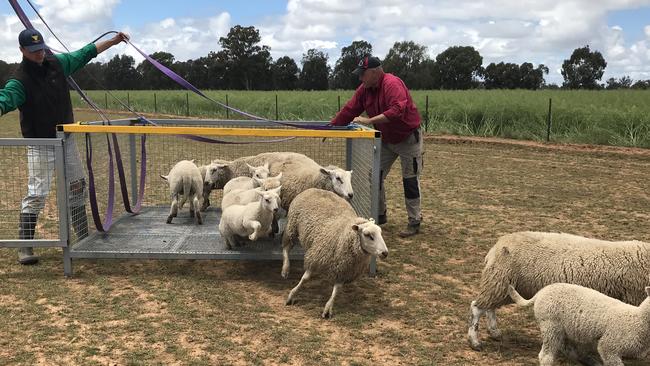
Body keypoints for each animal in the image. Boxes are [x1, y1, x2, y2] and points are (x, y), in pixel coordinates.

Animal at [280, 189, 388, 318]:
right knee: (286, 248)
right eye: (368, 235)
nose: (385, 253)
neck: (344, 234)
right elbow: (305, 279)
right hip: (292, 226)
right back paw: (285, 269)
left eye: (380, 232)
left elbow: (337, 290)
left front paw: (328, 308)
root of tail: (314, 189)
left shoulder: (343, 269)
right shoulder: (316, 257)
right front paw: (291, 295)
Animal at [466, 232, 648, 352]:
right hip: (500, 280)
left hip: (506, 286)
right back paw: (475, 342)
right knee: (476, 308)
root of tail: (497, 246)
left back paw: (495, 332)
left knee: (490, 307)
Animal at [506, 284, 648, 366]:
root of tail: (541, 292)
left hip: (561, 329)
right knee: (545, 356)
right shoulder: (609, 347)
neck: (637, 319)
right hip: (550, 324)